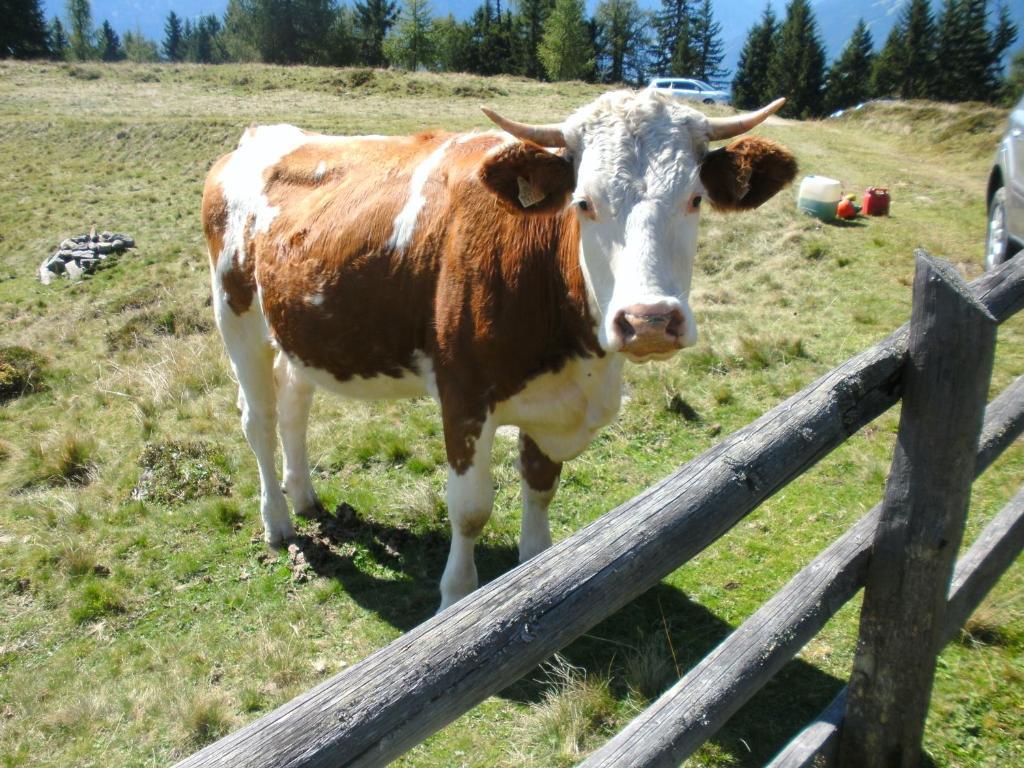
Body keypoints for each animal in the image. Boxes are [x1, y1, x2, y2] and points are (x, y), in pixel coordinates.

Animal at [201, 87, 798, 610]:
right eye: (584, 202)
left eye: (694, 199)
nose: (648, 320)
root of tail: (262, 135)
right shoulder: (463, 396)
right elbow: (470, 510)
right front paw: (455, 602)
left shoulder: (550, 404)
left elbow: (540, 490)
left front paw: (534, 577)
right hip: (236, 312)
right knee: (258, 419)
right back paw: (277, 521)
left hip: (296, 330)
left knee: (294, 405)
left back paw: (303, 494)